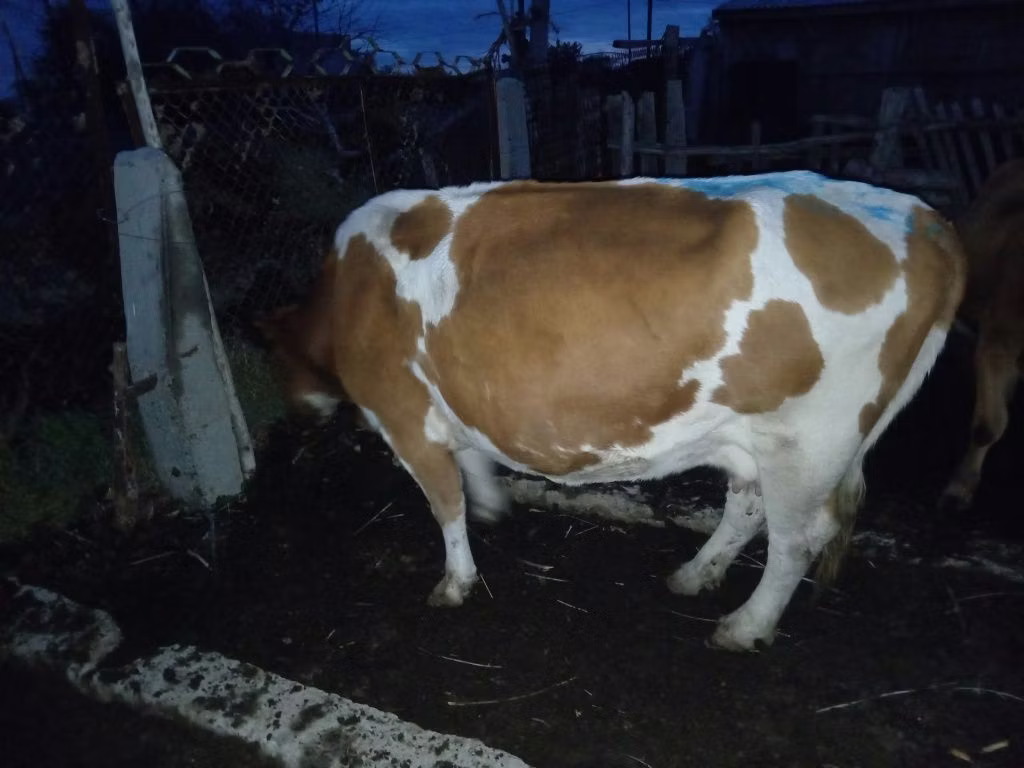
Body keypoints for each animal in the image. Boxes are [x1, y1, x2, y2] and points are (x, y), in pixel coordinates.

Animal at [259, 171, 965, 651]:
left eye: (275, 360)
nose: (295, 418)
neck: (342, 297)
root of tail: (928, 220)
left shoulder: (404, 416)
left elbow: (444, 504)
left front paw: (455, 582)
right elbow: (472, 468)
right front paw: (492, 505)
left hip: (808, 438)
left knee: (799, 538)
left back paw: (745, 625)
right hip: (756, 435)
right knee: (747, 507)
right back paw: (694, 574)